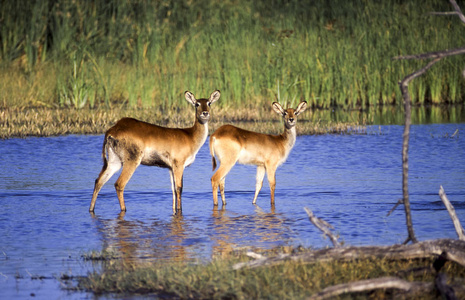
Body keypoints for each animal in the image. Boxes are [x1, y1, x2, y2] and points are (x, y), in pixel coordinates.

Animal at [91, 89, 222, 213]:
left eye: (209, 103)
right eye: (197, 104)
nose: (205, 113)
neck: (190, 136)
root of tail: (113, 130)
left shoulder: (170, 168)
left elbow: (173, 190)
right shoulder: (178, 165)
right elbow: (179, 188)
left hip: (114, 162)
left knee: (99, 181)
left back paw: (91, 209)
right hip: (132, 161)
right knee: (119, 184)